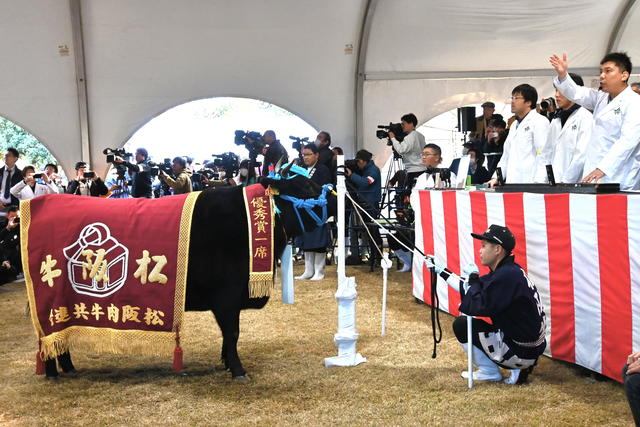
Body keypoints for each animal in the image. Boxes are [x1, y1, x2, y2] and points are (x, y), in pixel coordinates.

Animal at [43, 167, 336, 382]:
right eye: (306, 188)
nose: (335, 195)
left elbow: (228, 334)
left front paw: (226, 363)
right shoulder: (227, 296)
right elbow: (232, 332)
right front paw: (238, 370)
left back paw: (68, 367)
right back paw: (51, 372)